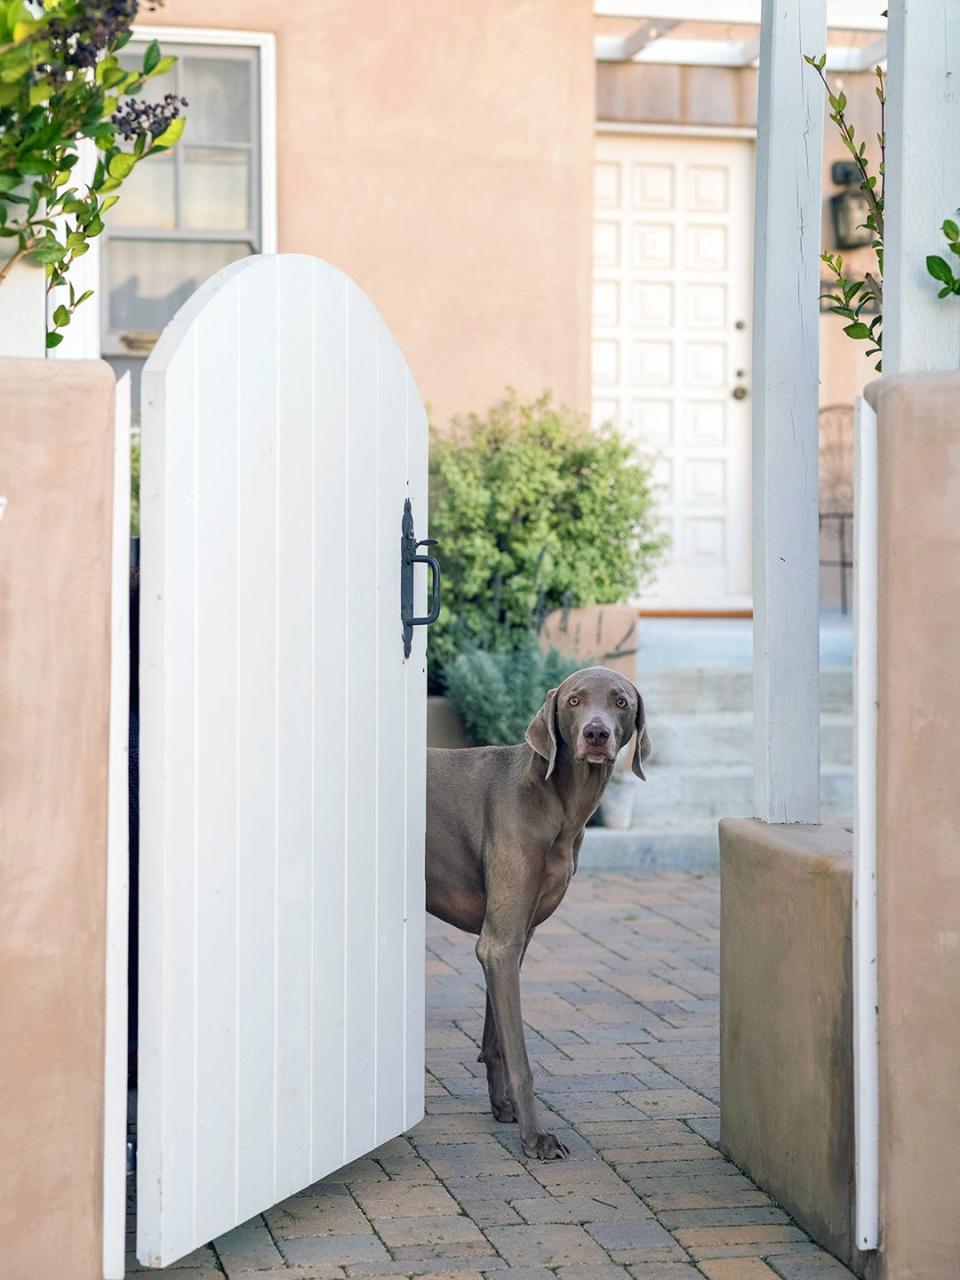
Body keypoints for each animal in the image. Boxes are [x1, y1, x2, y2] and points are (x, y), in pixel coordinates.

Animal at [430, 670, 650, 1162]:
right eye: (574, 700)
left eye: (621, 702)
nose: (596, 734)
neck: (558, 802)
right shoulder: (499, 943)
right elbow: (521, 1057)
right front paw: (535, 1138)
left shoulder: (513, 941)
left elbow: (496, 1040)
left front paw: (503, 1109)